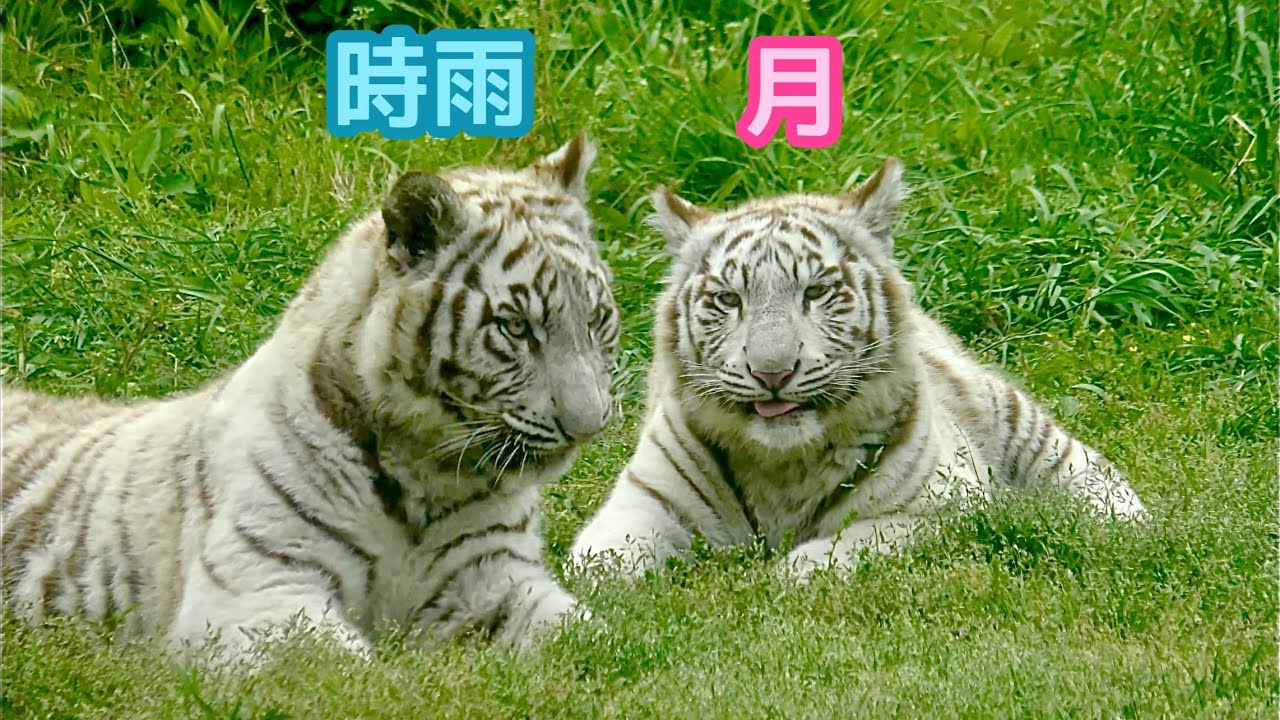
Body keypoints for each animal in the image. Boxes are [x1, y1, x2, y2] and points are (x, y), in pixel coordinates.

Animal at [2, 133, 620, 660]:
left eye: (596, 320)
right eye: (515, 328)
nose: (588, 427)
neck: (426, 478)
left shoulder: (496, 576)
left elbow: (593, 642)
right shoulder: (260, 587)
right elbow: (346, 671)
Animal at [570, 158, 1147, 578]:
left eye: (816, 292)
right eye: (729, 299)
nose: (772, 372)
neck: (782, 466)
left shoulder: (946, 509)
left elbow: (856, 542)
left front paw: (786, 576)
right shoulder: (644, 499)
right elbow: (597, 561)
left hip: (1015, 417)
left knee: (1091, 475)